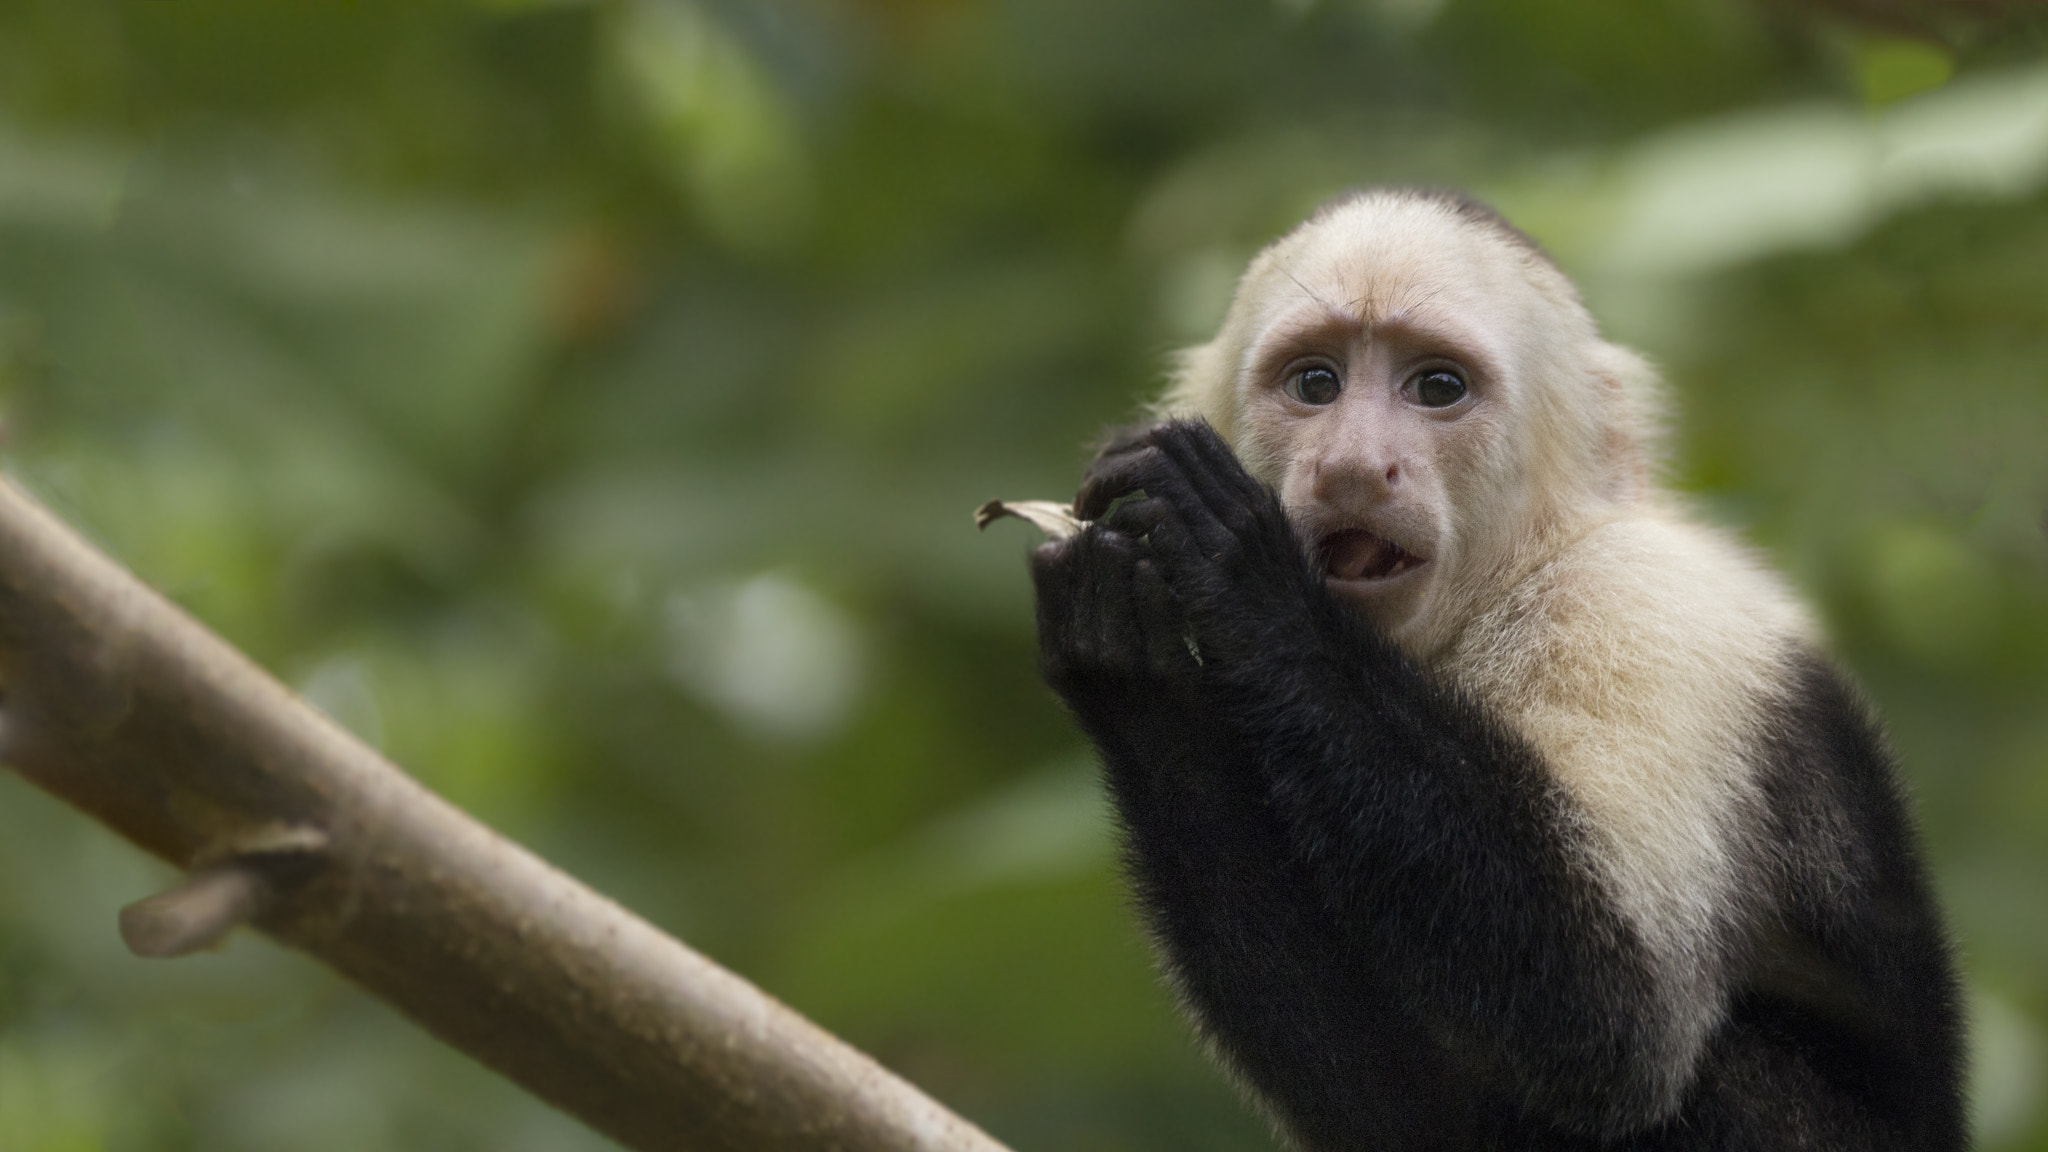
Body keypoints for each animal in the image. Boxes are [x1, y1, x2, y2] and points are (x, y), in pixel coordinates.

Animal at [1024, 190, 1966, 1147]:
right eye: (1315, 384)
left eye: (1437, 387)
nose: (1353, 468)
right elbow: (1411, 1111)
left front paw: (1249, 572)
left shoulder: (1632, 608)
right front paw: (1130, 667)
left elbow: (1615, 1023)